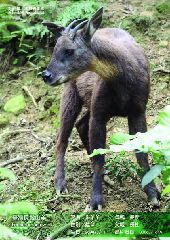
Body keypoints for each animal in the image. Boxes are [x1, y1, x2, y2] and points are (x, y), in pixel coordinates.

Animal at [42, 7, 159, 210]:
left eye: (69, 50)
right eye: (54, 49)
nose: (46, 75)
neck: (122, 78)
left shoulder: (138, 111)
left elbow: (142, 153)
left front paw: (153, 193)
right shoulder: (99, 115)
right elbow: (99, 157)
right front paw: (95, 201)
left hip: (90, 102)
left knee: (81, 125)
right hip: (71, 95)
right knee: (61, 139)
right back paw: (60, 184)